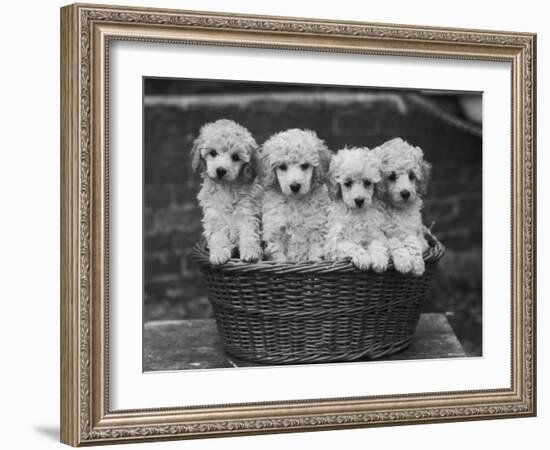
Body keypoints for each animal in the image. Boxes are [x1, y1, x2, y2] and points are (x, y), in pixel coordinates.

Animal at [191, 119, 264, 268]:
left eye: (235, 157)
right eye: (213, 153)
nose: (220, 170)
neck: (226, 187)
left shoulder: (248, 212)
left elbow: (249, 233)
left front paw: (250, 253)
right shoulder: (213, 215)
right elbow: (217, 236)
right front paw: (219, 254)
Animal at [260, 128, 332, 262]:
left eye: (305, 165)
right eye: (282, 166)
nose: (294, 186)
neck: (295, 201)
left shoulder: (317, 226)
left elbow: (316, 250)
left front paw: (314, 261)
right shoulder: (275, 229)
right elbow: (278, 254)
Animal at [376, 137, 436, 274]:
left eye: (412, 176)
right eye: (391, 176)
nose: (405, 193)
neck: (398, 209)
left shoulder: (417, 234)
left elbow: (412, 241)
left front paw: (418, 265)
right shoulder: (381, 234)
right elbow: (394, 241)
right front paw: (403, 262)